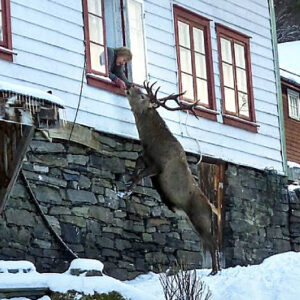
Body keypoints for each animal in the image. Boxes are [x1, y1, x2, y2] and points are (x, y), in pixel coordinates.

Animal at [125, 81, 221, 274]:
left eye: (142, 96)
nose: (129, 86)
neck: (151, 142)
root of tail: (211, 207)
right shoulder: (146, 157)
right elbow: (137, 164)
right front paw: (127, 183)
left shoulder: (158, 166)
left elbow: (140, 175)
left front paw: (127, 190)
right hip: (195, 222)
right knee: (209, 242)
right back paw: (216, 269)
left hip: (200, 218)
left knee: (213, 243)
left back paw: (215, 270)